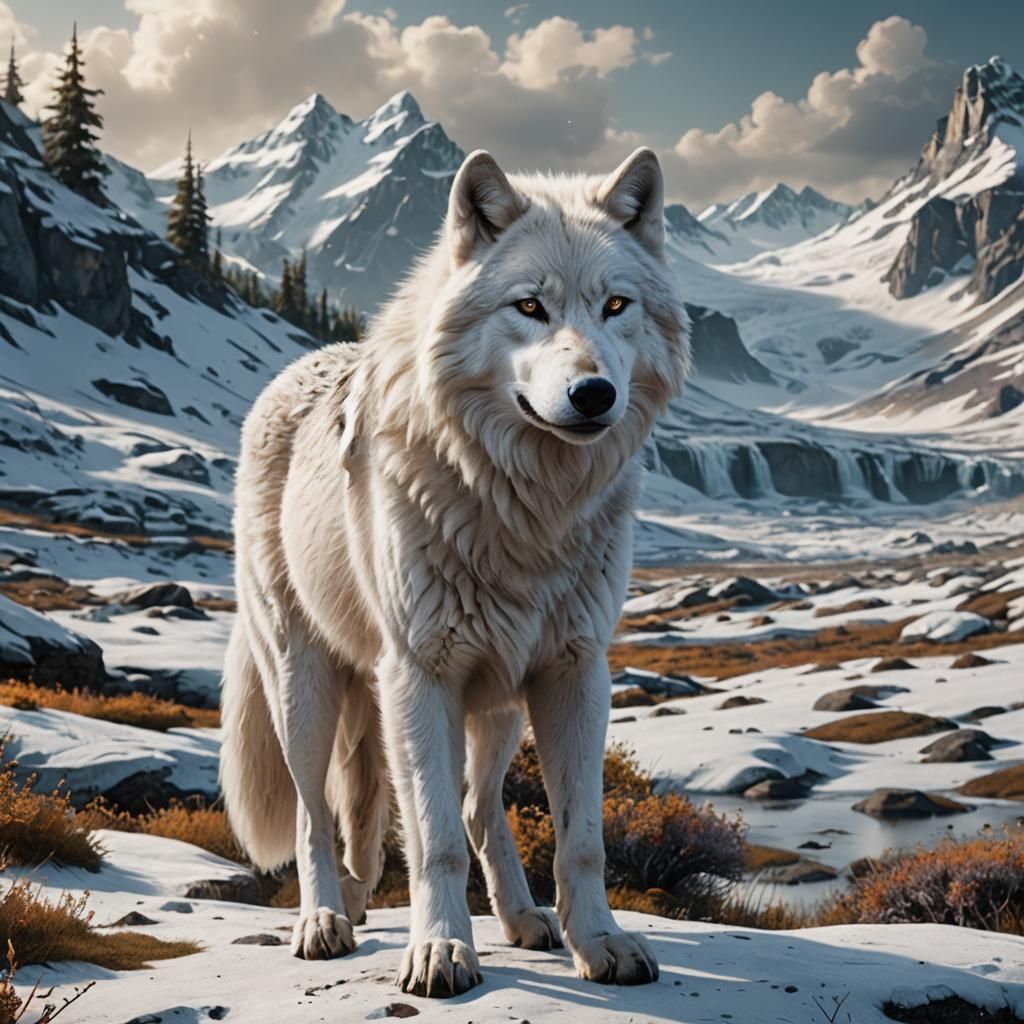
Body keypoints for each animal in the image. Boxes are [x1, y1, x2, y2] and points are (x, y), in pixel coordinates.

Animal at [219, 146, 690, 997]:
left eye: (615, 305)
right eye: (529, 306)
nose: (593, 392)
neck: (526, 510)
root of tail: (300, 367)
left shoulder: (575, 673)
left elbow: (579, 838)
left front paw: (600, 943)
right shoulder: (419, 674)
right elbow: (431, 838)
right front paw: (440, 951)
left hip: (496, 701)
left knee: (474, 806)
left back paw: (518, 919)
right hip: (307, 687)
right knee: (316, 814)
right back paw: (326, 920)